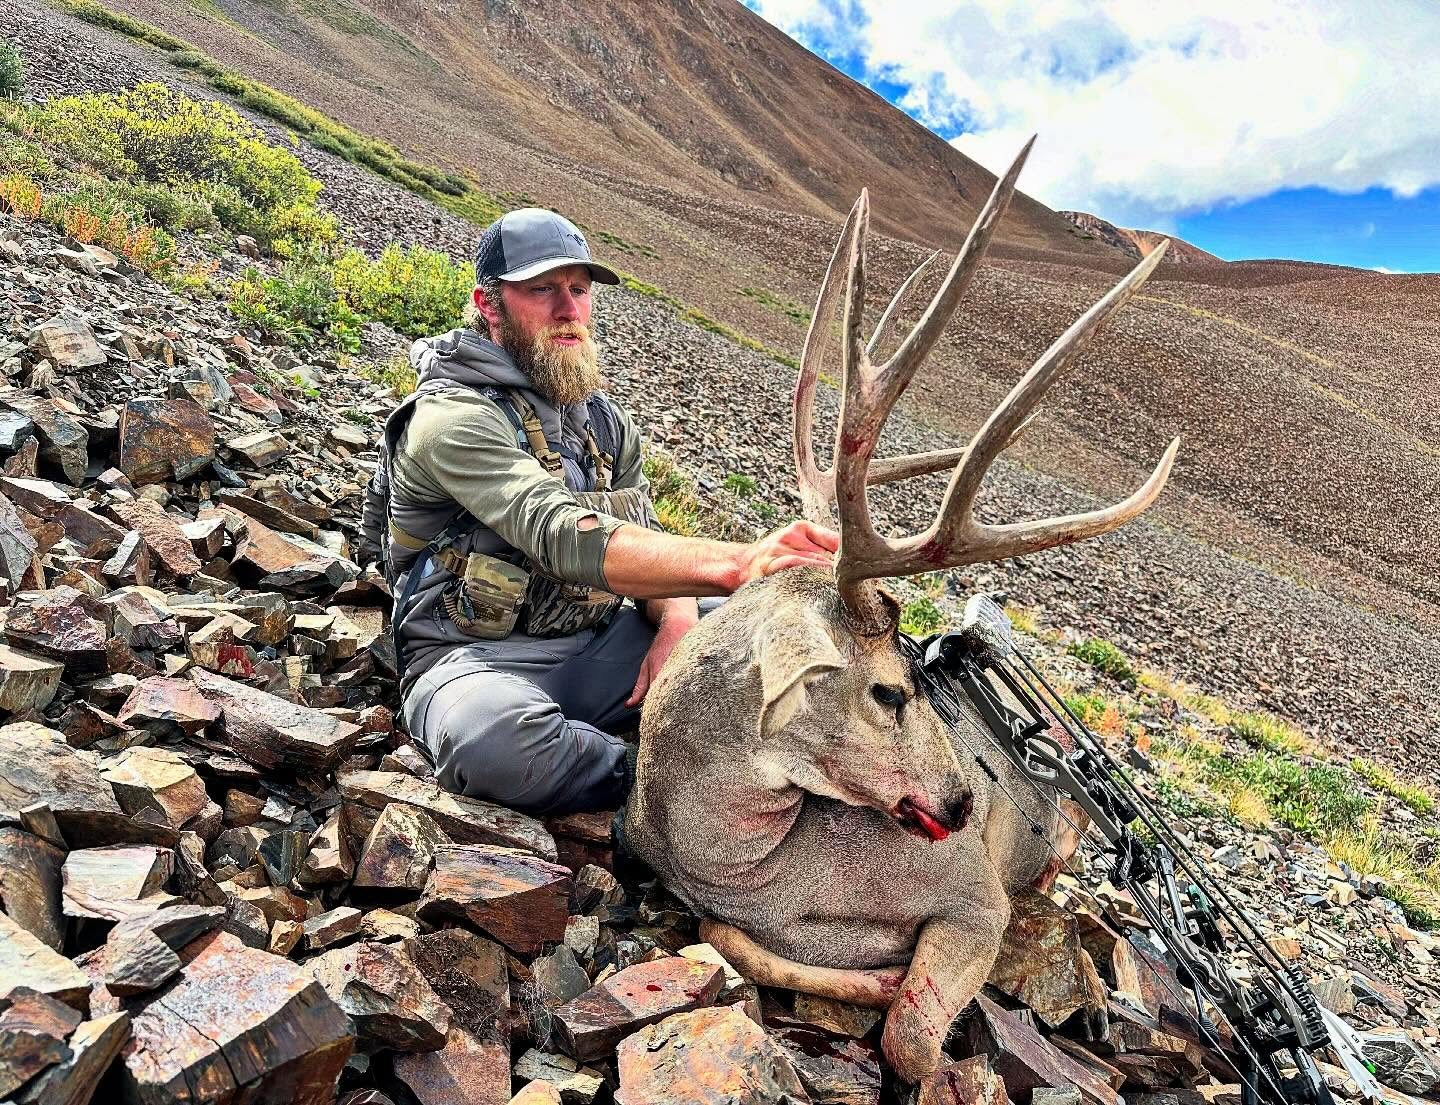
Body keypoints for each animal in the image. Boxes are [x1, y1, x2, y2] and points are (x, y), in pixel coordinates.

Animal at [623, 138, 1180, 1083]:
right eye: (889, 689)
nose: (960, 803)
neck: (758, 869)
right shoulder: (711, 902)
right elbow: (723, 935)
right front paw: (873, 977)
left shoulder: (973, 895)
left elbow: (911, 1039)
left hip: (1053, 839)